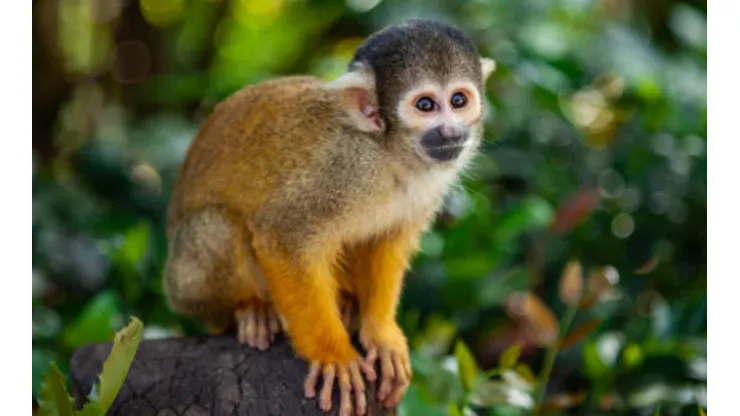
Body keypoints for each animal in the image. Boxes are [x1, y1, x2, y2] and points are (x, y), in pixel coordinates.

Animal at [164, 19, 495, 416]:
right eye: (426, 105)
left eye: (459, 100)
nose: (451, 131)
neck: (389, 152)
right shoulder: (342, 169)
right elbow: (283, 237)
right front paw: (334, 356)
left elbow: (388, 242)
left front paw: (380, 331)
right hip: (185, 286)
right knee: (217, 225)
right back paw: (250, 309)